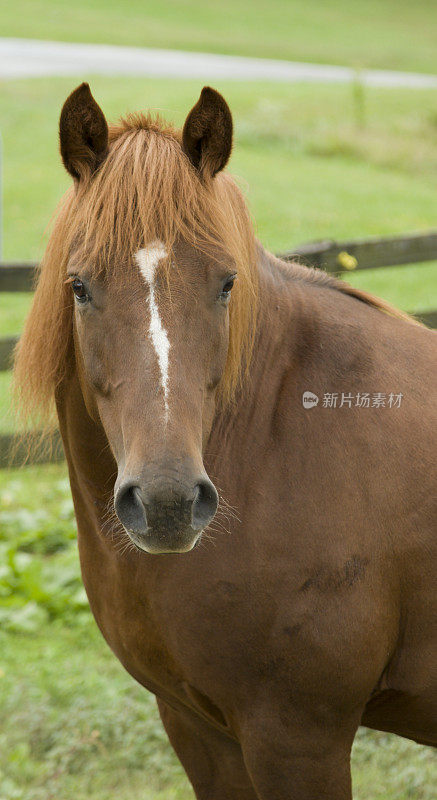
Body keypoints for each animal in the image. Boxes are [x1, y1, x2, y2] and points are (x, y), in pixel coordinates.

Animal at [14, 84, 436, 796]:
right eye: (79, 285)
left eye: (226, 283)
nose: (167, 503)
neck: (270, 444)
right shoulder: (196, 726)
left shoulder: (298, 737)